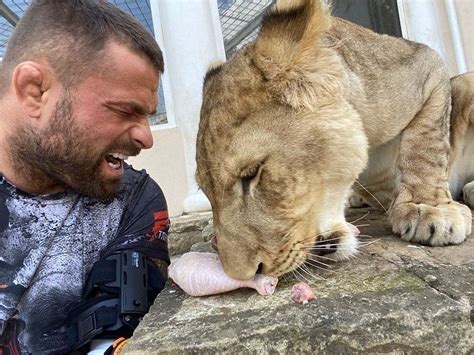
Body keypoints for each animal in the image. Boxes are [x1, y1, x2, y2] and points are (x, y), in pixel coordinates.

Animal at [194, 0, 472, 280]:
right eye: (205, 191)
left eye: (252, 173)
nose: (241, 275)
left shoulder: (426, 66)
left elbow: (427, 145)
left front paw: (429, 209)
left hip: (465, 83)